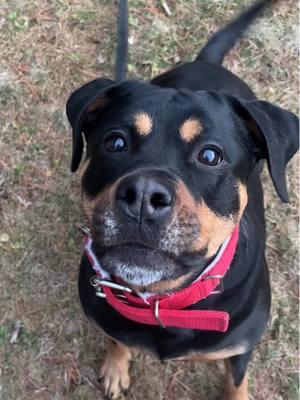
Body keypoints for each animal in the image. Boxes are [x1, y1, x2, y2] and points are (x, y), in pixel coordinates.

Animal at [65, 1, 298, 398]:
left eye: (210, 155)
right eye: (115, 142)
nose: (144, 195)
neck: (165, 302)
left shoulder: (240, 347)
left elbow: (236, 380)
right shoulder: (108, 317)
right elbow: (117, 339)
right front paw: (115, 368)